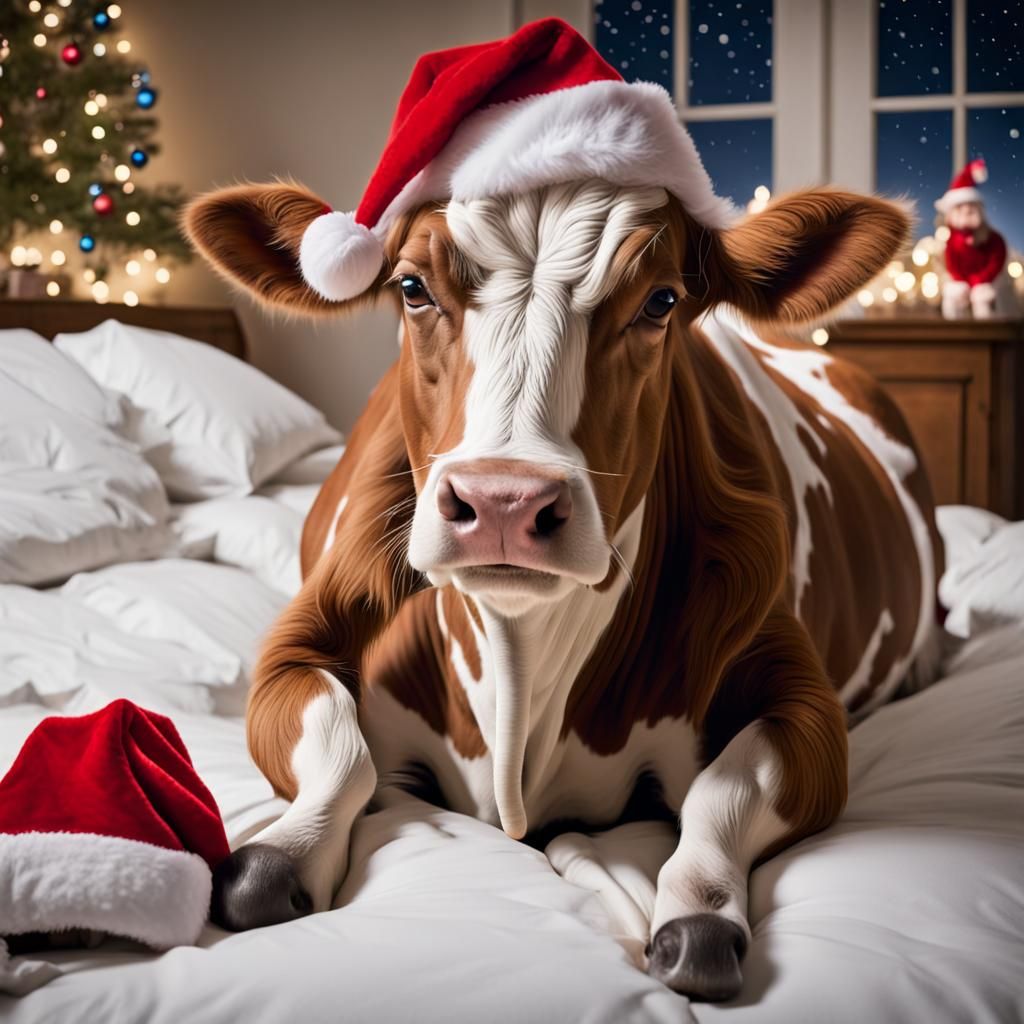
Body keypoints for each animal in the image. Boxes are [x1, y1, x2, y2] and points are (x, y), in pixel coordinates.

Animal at [185, 172, 942, 1001]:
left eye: (661, 301)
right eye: (412, 288)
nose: (503, 504)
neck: (522, 664)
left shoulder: (805, 707)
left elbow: (723, 787)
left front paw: (696, 910)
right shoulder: (296, 651)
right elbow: (340, 743)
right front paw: (289, 846)